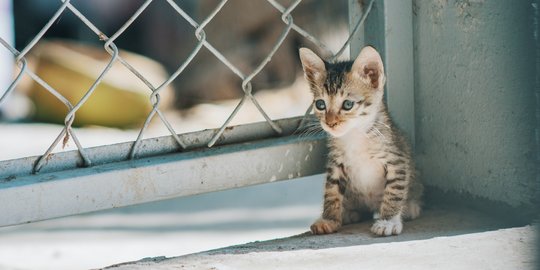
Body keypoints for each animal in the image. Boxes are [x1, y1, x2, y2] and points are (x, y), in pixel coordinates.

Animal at [300, 46, 422, 236]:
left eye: (347, 105)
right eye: (320, 104)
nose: (330, 123)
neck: (355, 135)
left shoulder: (397, 158)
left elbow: (394, 191)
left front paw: (388, 221)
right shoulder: (336, 163)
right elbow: (331, 191)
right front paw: (329, 219)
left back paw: (409, 207)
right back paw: (348, 212)